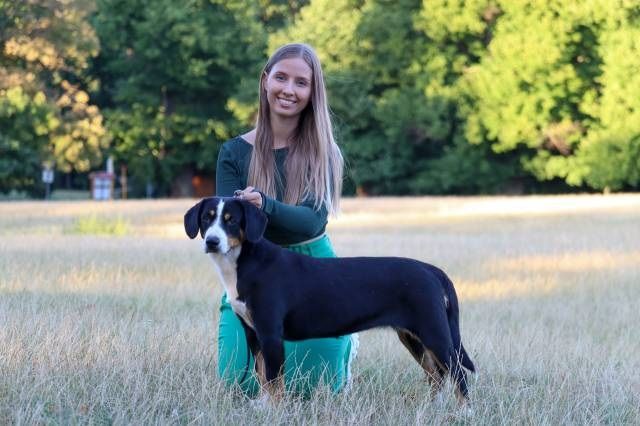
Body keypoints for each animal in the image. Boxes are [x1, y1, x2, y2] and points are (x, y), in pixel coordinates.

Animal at [184, 196, 475, 402]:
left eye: (232, 220)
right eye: (207, 219)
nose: (212, 241)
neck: (245, 263)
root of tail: (430, 269)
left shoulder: (270, 334)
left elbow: (274, 380)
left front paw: (272, 409)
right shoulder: (253, 333)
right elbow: (262, 374)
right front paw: (262, 406)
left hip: (434, 331)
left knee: (457, 372)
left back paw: (464, 412)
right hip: (412, 336)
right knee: (436, 374)